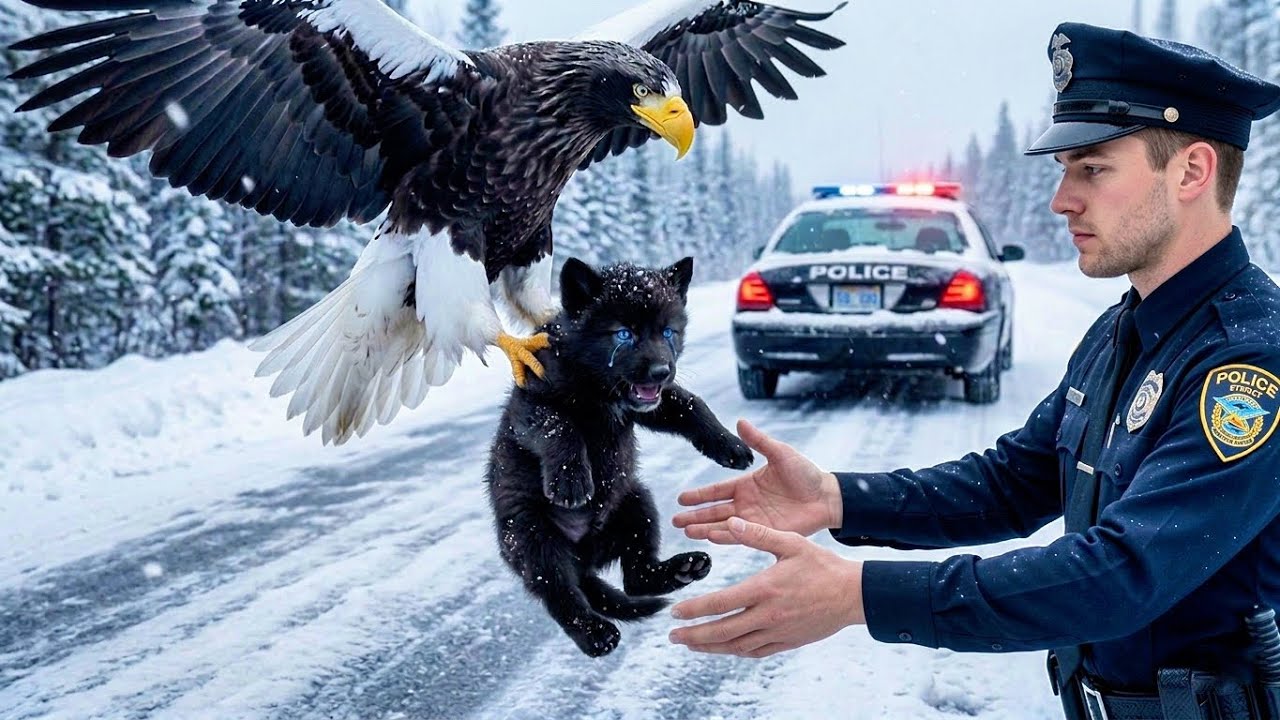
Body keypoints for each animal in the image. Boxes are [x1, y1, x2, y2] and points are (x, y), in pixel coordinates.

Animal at [485, 256, 754, 657]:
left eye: (668, 332)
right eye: (623, 334)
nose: (661, 370)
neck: (600, 387)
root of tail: (584, 560)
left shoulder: (652, 403)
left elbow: (692, 405)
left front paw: (730, 447)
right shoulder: (531, 404)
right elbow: (559, 425)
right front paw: (570, 481)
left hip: (636, 502)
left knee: (637, 578)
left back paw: (682, 568)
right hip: (532, 536)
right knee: (561, 595)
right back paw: (595, 634)